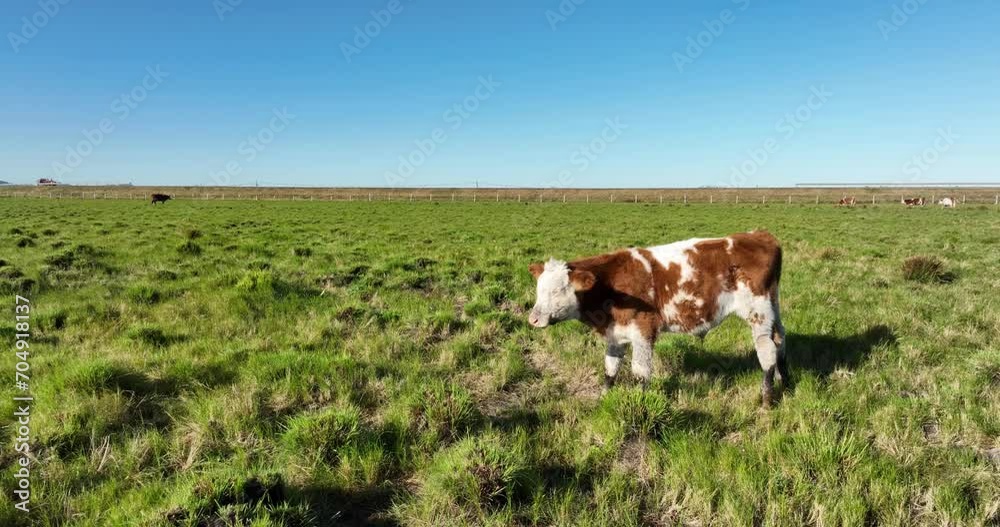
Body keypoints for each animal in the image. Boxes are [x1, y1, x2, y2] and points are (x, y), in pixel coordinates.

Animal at [528, 231, 789, 407]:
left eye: (557, 291)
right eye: (539, 289)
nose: (533, 319)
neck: (611, 285)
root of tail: (760, 235)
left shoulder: (643, 330)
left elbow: (640, 372)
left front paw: (639, 403)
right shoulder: (616, 333)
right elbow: (610, 368)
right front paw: (603, 398)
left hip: (758, 312)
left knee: (766, 349)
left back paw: (767, 399)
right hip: (773, 307)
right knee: (781, 340)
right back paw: (785, 382)